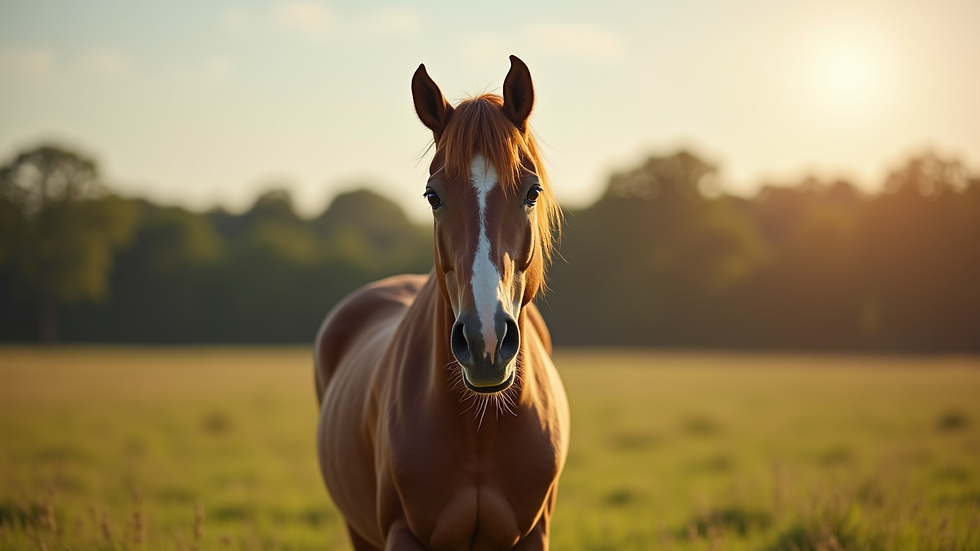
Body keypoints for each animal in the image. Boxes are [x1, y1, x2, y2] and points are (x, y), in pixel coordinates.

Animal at [314, 55, 569, 551]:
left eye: (532, 192)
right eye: (433, 195)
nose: (486, 340)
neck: (479, 428)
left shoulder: (533, 536)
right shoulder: (401, 534)